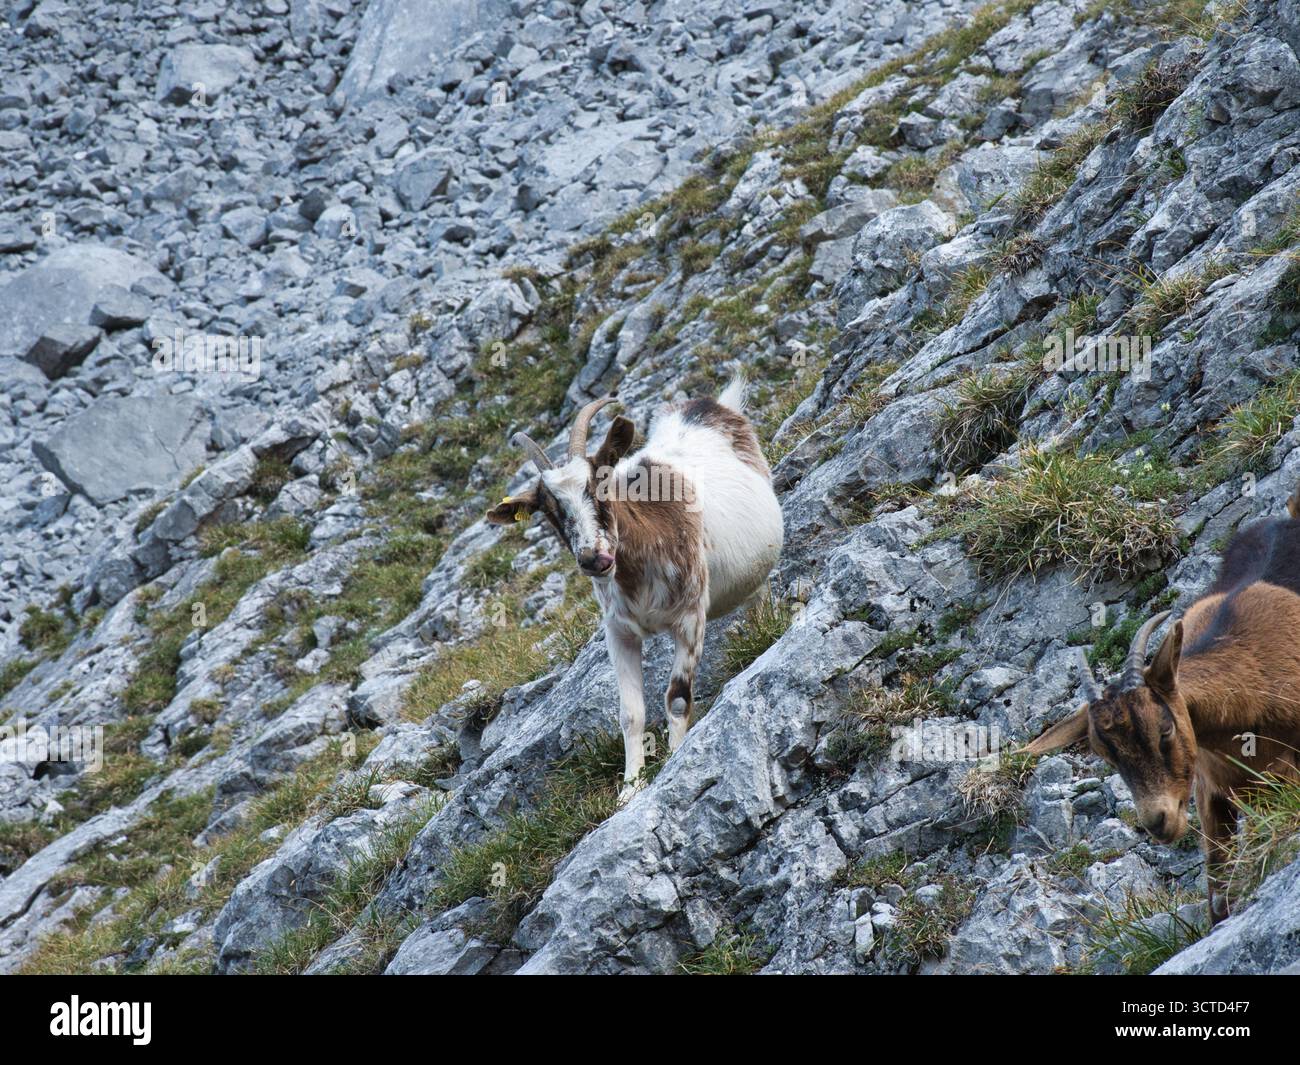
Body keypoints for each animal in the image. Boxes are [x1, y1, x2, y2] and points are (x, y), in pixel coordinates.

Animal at [486, 378, 784, 803]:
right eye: (549, 510)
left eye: (599, 483)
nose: (593, 558)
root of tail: (712, 406)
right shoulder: (619, 632)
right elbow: (630, 714)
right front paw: (629, 790)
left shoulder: (690, 617)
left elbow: (677, 698)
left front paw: (675, 759)